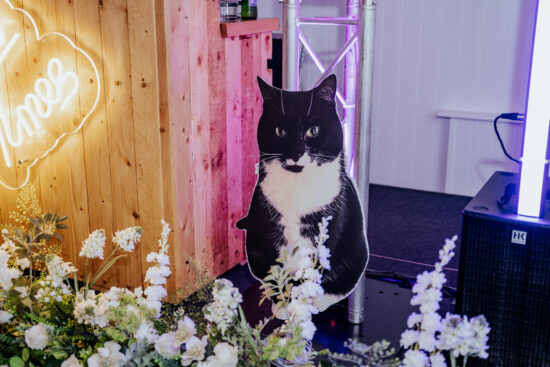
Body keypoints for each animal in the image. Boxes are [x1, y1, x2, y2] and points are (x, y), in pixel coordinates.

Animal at [238, 76, 370, 312]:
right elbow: (279, 271)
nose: (296, 152)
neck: (297, 186)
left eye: (313, 131)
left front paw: (302, 310)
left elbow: (312, 275)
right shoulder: (270, 228)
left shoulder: (327, 230)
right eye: (280, 131)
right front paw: (284, 307)